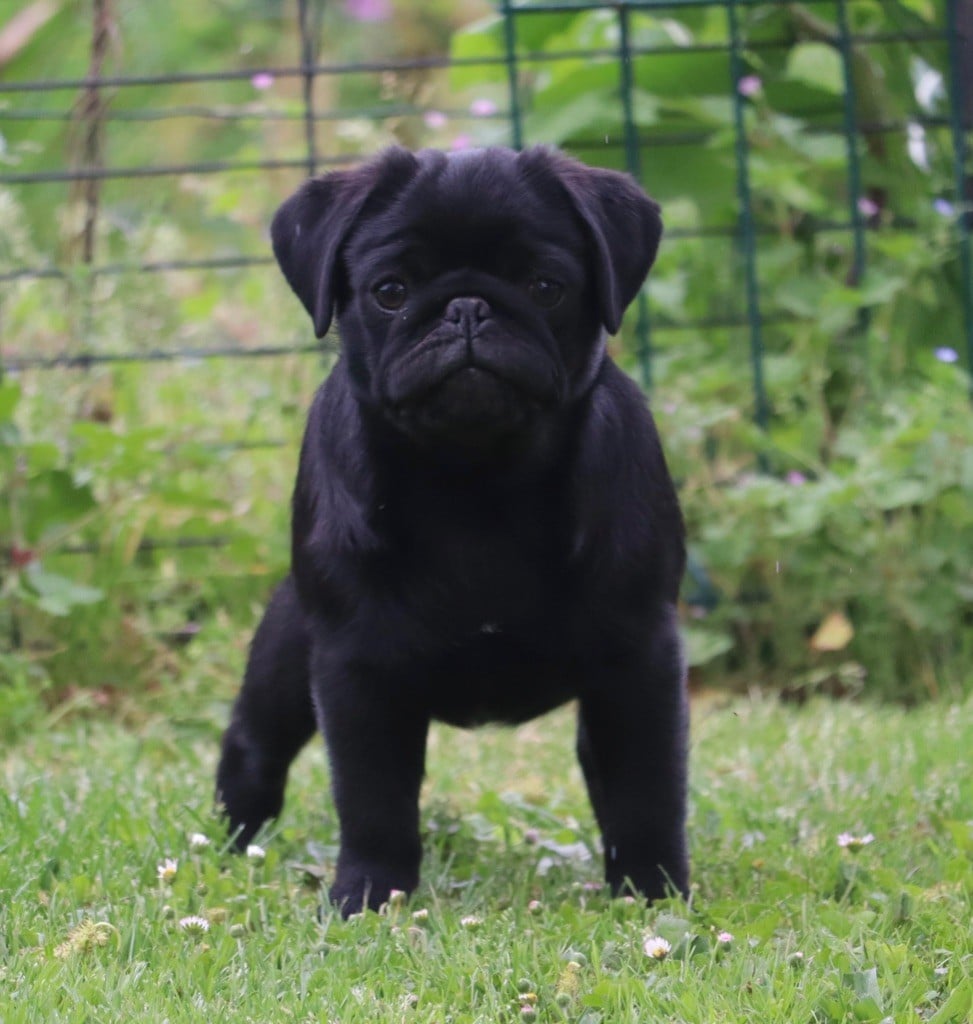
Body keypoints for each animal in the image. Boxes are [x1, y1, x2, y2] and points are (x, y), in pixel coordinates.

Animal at [217, 142, 688, 913]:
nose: (467, 307)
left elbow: (646, 789)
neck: (475, 480)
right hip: (284, 662)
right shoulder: (356, 667)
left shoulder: (638, 658)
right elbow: (373, 798)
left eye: (545, 286)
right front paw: (367, 894)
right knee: (255, 750)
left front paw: (653, 892)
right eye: (390, 291)